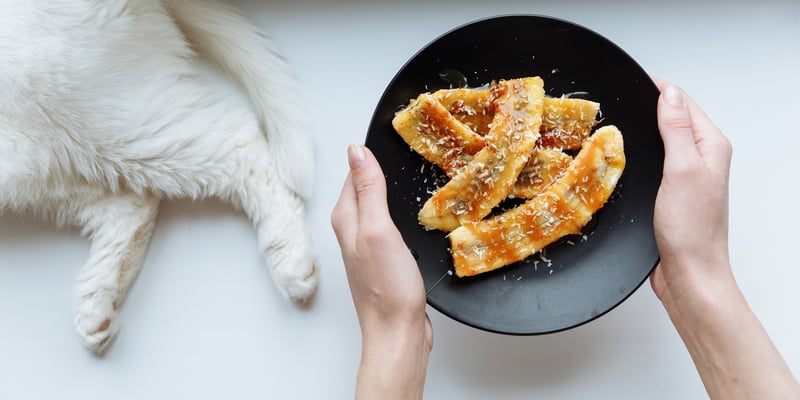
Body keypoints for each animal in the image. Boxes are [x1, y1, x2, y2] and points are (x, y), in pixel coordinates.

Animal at [0, 0, 318, 354]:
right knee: (132, 207)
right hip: (47, 166)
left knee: (241, 146)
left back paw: (290, 261)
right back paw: (95, 306)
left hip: (116, 125)